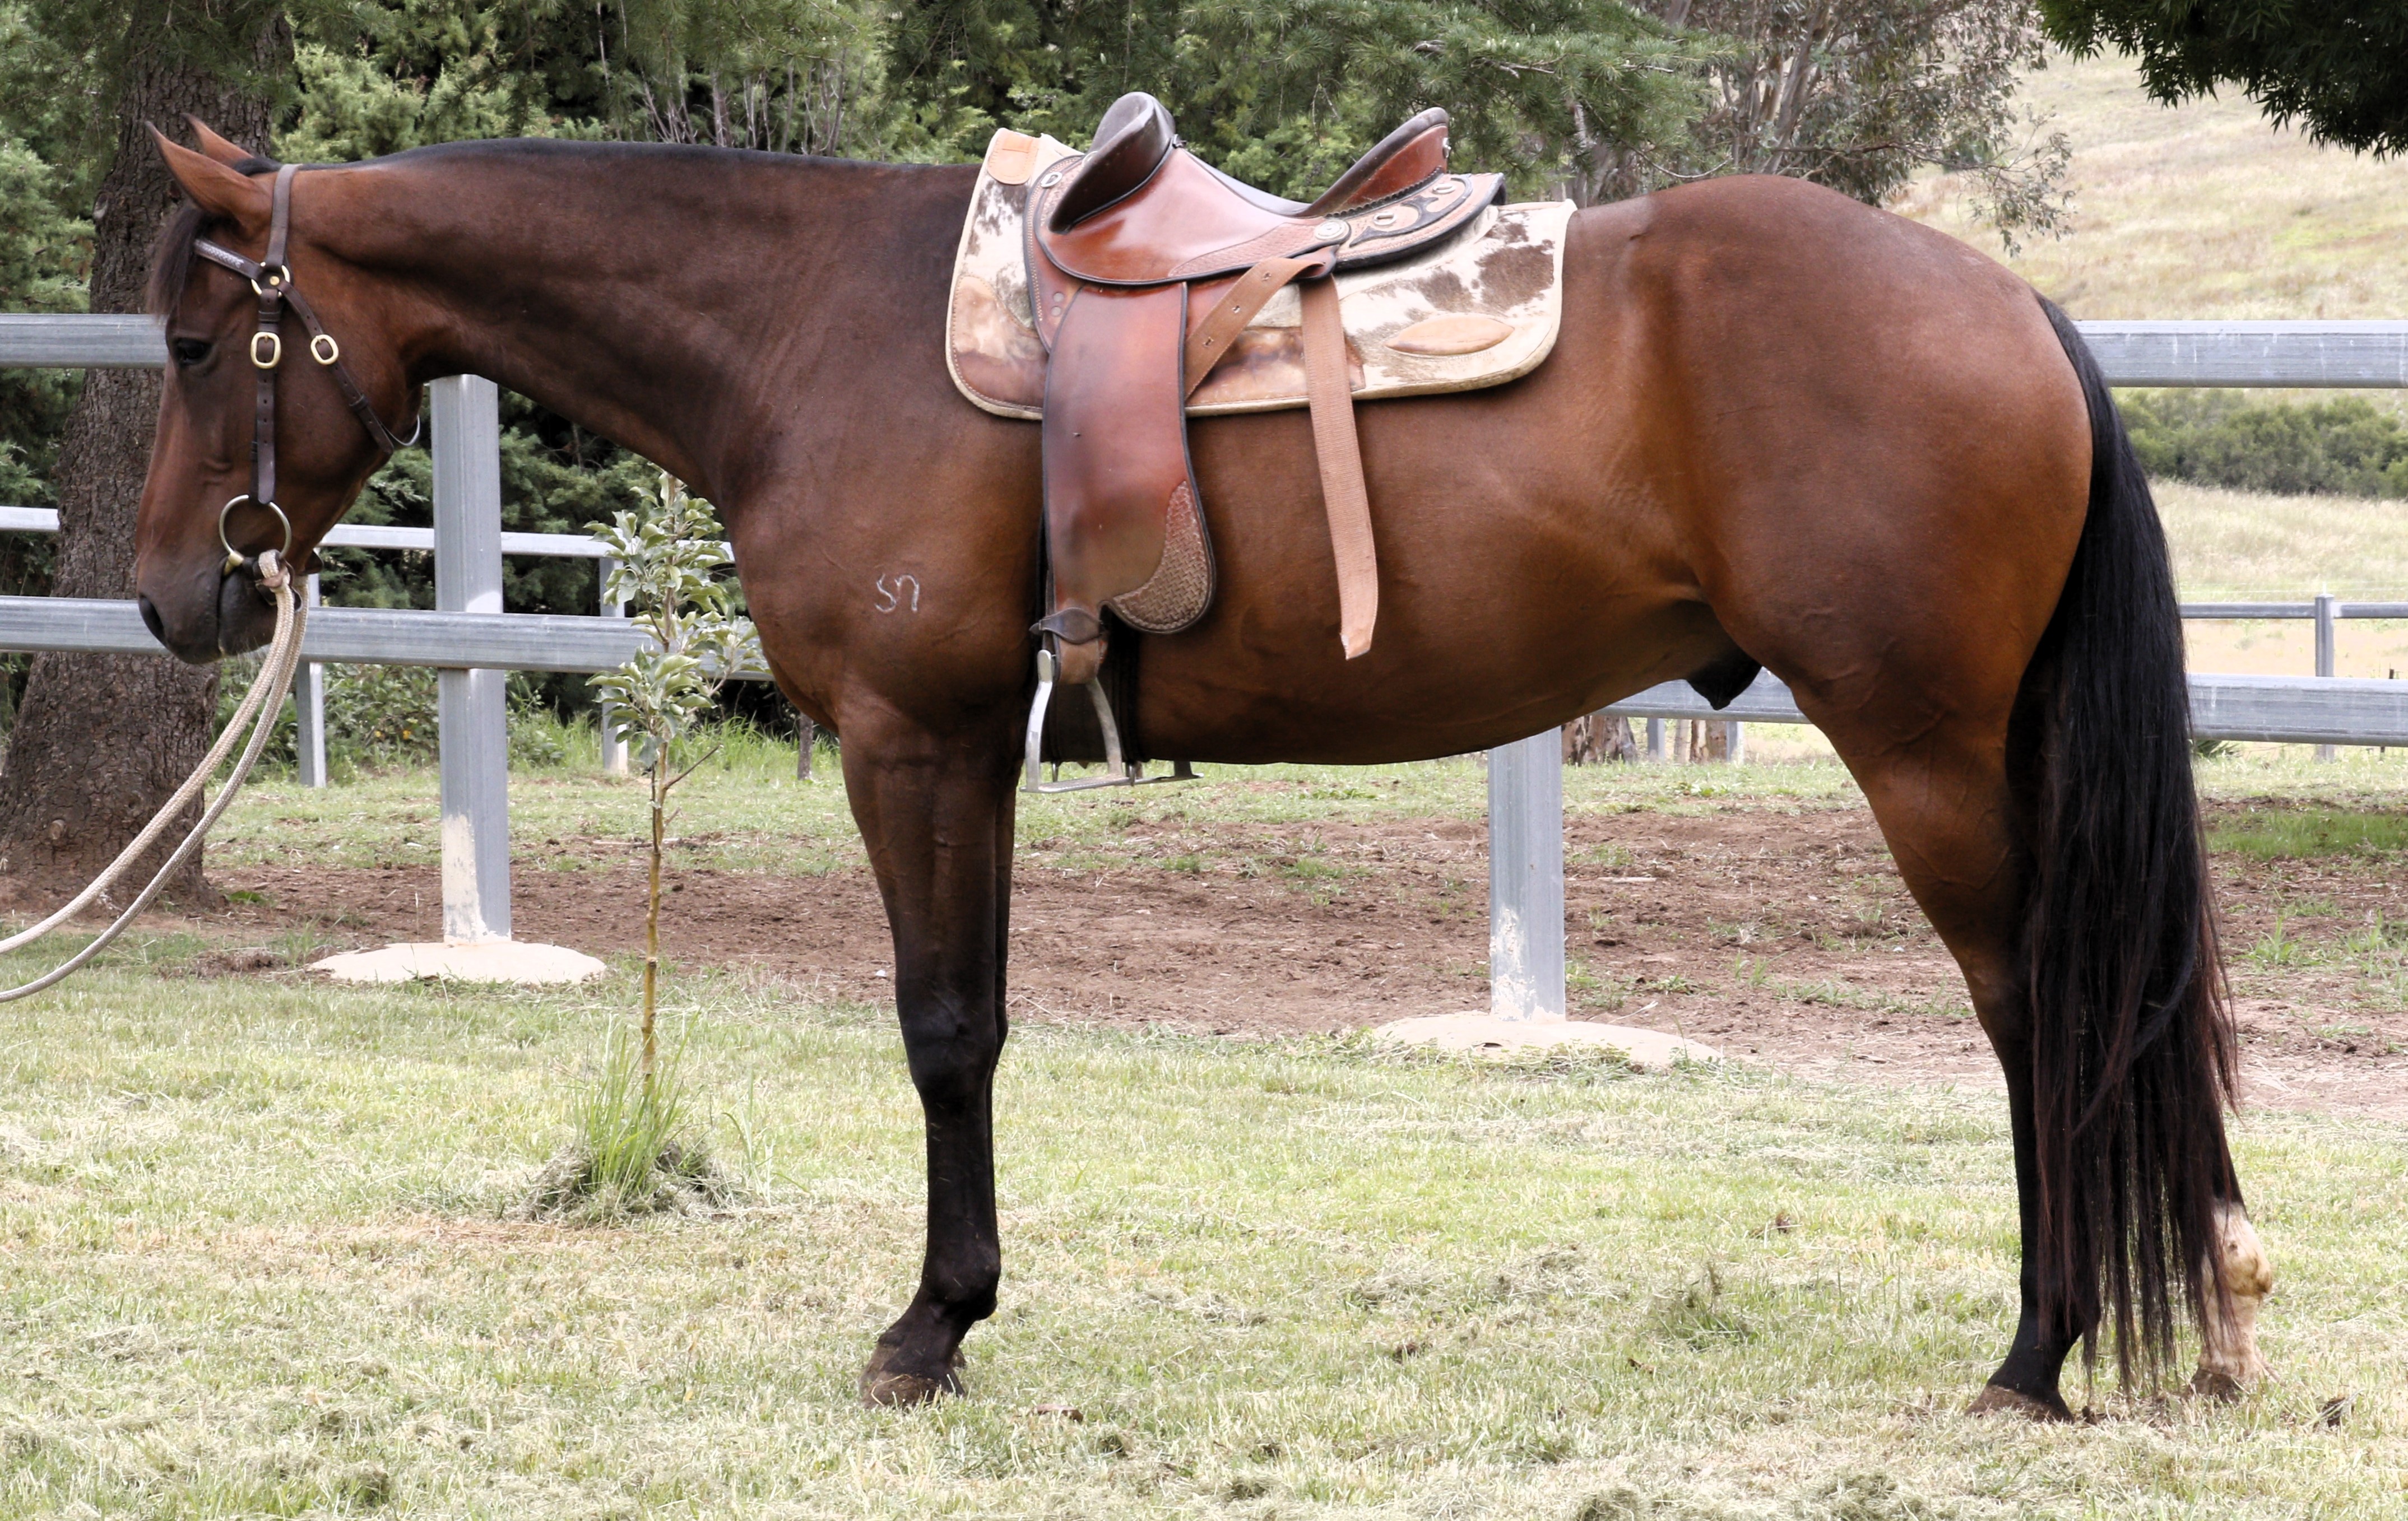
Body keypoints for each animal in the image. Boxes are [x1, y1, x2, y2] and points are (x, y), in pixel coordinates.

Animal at [128, 123, 2272, 1417]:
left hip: (1924, 752)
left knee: (2044, 1016)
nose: (171, 596)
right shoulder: (974, 752)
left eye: (199, 340)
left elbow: (935, 1028)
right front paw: (963, 1302)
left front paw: (926, 1325)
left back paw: (2036, 1348)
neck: (810, 328)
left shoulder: (910, 742)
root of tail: (2005, 305)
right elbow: (979, 1022)